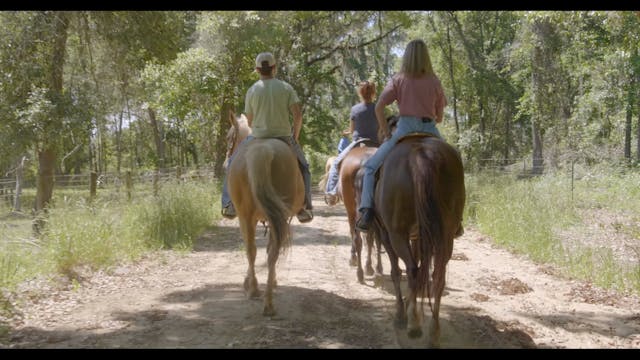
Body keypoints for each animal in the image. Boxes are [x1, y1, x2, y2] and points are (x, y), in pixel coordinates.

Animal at [225, 112, 304, 316]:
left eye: (229, 138)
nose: (225, 162)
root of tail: (262, 150)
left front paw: (249, 282)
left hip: (250, 216)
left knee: (253, 250)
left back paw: (258, 294)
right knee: (268, 252)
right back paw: (266, 300)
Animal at [364, 134, 464, 348]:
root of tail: (421, 154)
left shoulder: (387, 235)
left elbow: (396, 272)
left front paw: (402, 313)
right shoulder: (419, 236)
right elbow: (421, 269)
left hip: (397, 235)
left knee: (411, 270)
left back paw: (412, 324)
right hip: (445, 236)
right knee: (437, 277)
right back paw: (433, 334)